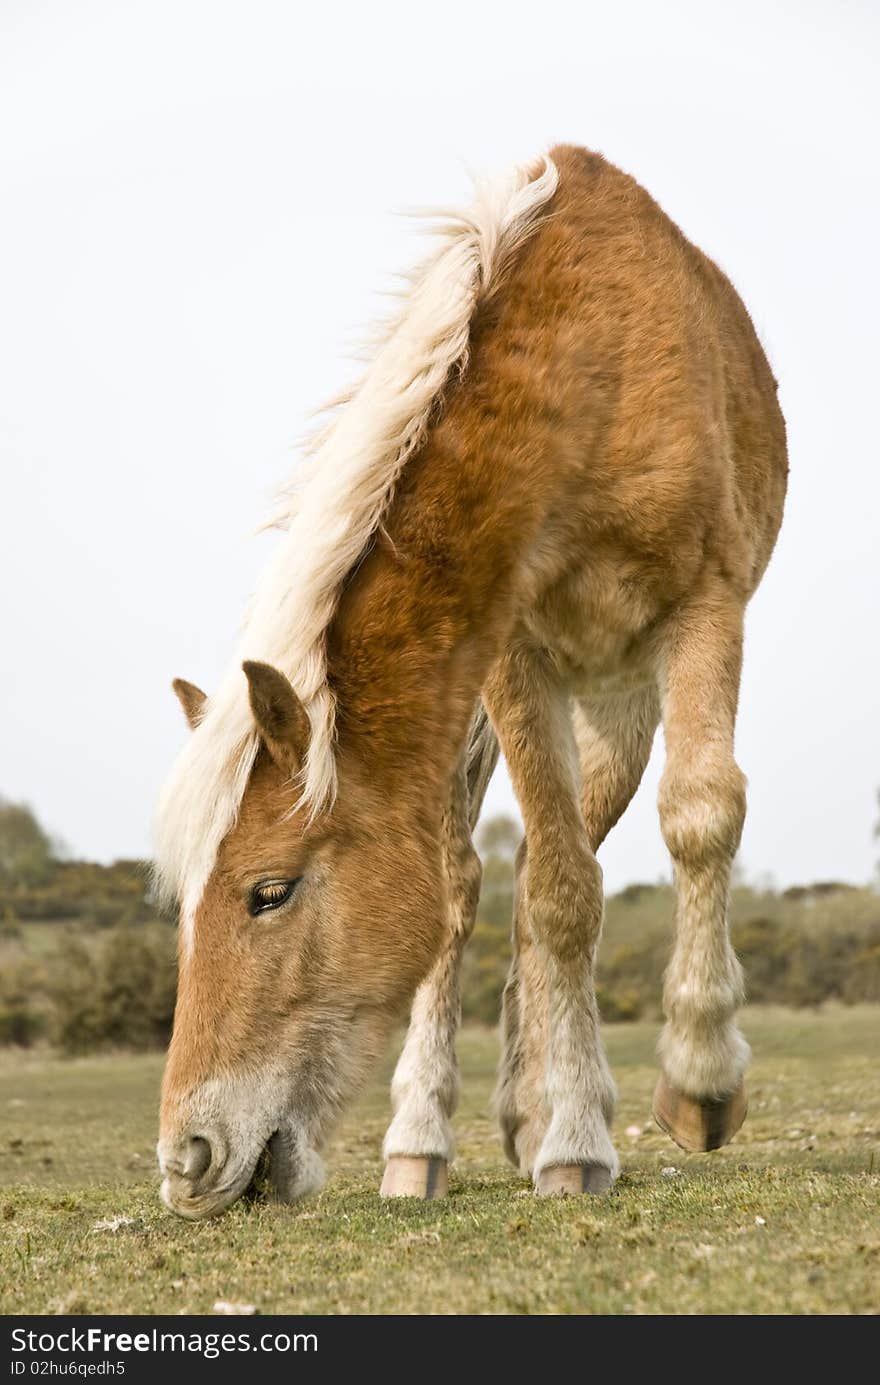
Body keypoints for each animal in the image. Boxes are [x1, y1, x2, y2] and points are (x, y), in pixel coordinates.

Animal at [155, 146, 787, 1218]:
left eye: (268, 892)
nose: (188, 1159)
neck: (589, 379)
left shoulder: (704, 607)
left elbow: (697, 818)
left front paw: (697, 1084)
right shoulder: (511, 654)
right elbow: (554, 892)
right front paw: (570, 1139)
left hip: (618, 703)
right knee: (478, 888)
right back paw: (431, 1138)